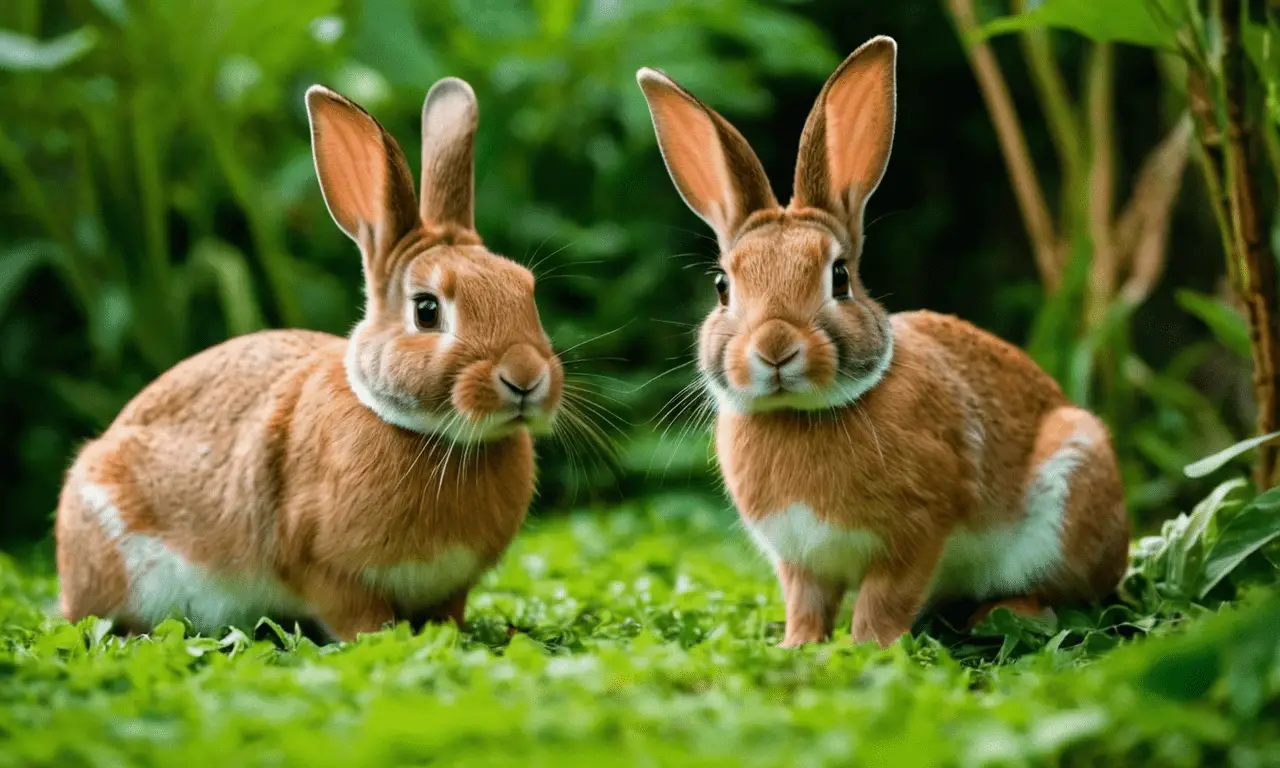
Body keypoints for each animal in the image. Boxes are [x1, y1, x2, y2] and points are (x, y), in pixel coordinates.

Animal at [53, 78, 565, 642]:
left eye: (526, 290)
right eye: (427, 310)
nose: (525, 378)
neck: (430, 434)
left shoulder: (451, 588)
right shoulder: (324, 570)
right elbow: (359, 618)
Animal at [634, 36, 1126, 647]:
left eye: (840, 277)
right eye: (723, 287)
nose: (775, 348)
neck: (800, 414)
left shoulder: (915, 537)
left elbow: (883, 602)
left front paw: (864, 648)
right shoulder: (800, 562)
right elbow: (807, 604)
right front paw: (798, 646)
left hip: (1071, 483)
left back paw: (1006, 615)